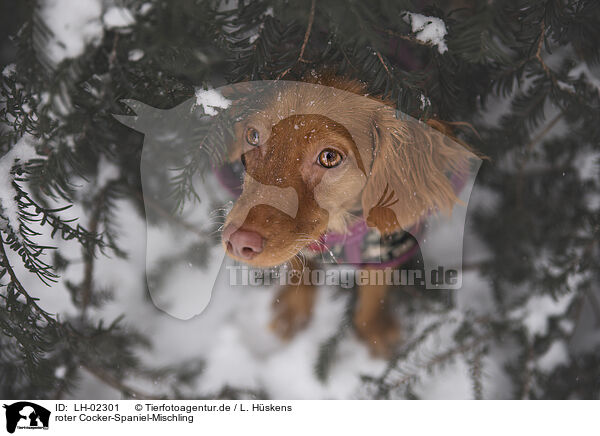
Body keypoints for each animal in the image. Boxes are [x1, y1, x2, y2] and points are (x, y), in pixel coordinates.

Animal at [220, 74, 474, 354]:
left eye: (329, 157)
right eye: (253, 136)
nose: (238, 241)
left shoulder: (388, 243)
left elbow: (375, 281)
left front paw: (373, 327)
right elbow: (301, 264)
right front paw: (293, 310)